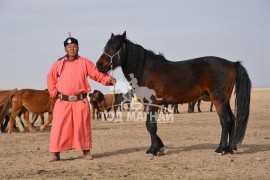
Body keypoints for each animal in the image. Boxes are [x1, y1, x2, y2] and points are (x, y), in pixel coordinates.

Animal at [96, 31, 251, 157]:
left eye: (115, 47)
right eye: (106, 47)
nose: (99, 65)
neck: (146, 70)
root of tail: (232, 63)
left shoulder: (152, 104)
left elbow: (150, 126)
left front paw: (153, 150)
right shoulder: (150, 105)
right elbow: (151, 126)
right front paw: (159, 147)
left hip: (218, 100)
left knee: (225, 121)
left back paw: (220, 149)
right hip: (225, 100)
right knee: (232, 119)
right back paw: (230, 149)